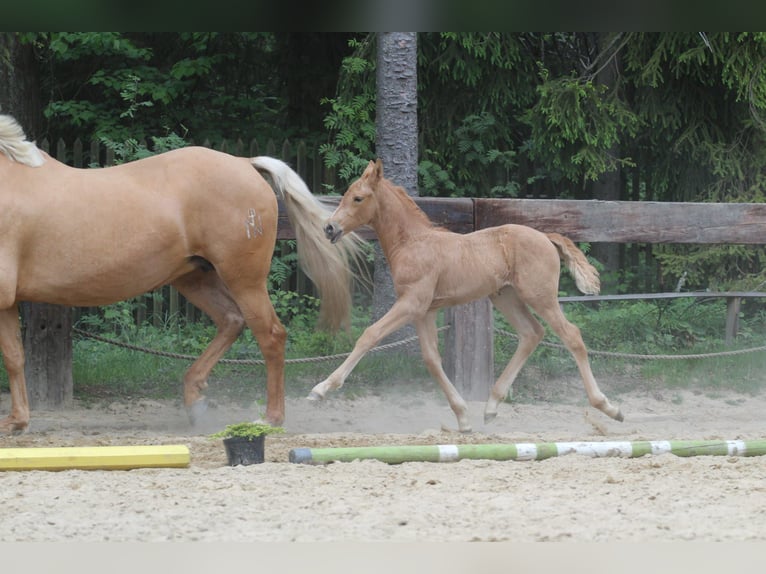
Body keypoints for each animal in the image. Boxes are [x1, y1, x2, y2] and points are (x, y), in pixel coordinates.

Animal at [0, 115, 364, 434]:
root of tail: (244, 162)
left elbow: (10, 358)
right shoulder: (8, 304)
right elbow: (15, 357)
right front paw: (18, 421)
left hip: (244, 280)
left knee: (271, 335)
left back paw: (271, 418)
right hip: (194, 277)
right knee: (231, 320)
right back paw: (195, 400)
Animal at [312, 160, 624, 434]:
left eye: (358, 198)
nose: (329, 228)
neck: (412, 242)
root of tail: (546, 237)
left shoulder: (411, 304)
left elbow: (370, 335)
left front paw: (321, 389)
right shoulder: (424, 311)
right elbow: (431, 359)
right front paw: (463, 418)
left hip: (540, 297)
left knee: (571, 336)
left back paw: (608, 407)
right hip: (506, 297)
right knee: (532, 333)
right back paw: (491, 407)